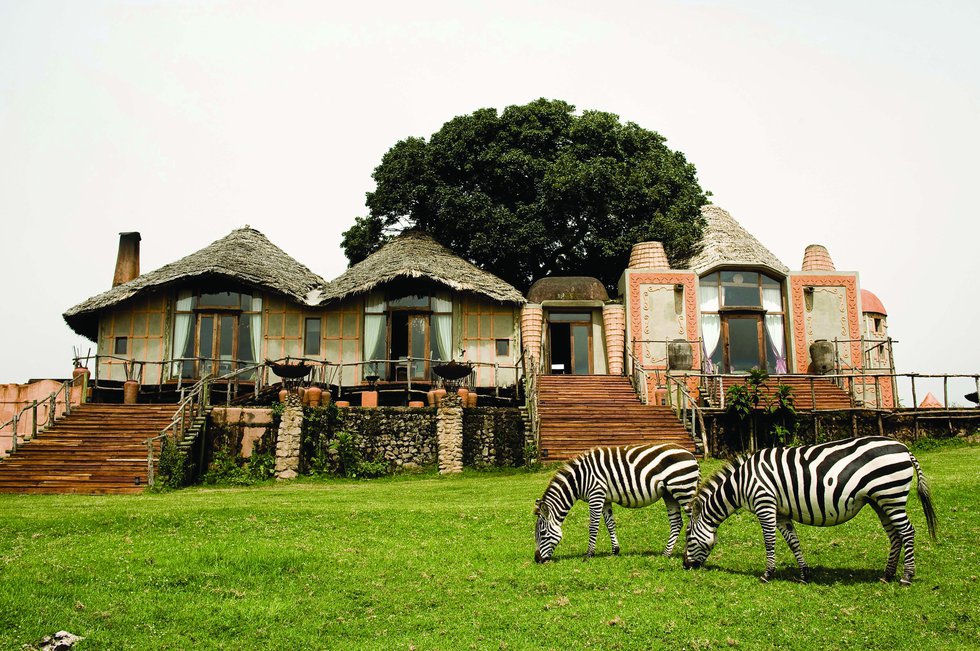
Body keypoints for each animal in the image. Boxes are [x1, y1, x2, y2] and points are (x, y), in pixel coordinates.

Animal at [532, 446, 700, 564]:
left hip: (683, 489)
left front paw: (589, 555)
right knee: (677, 523)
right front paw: (615, 551)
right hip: (670, 494)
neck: (579, 479)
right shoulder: (605, 499)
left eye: (542, 533)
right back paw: (666, 554)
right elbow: (610, 524)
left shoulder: (596, 493)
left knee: (694, 520)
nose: (537, 560)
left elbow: (593, 526)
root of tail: (692, 455)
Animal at [680, 438, 936, 584]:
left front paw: (767, 574)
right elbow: (793, 542)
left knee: (907, 532)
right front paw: (804, 575)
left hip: (891, 495)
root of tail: (904, 448)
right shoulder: (781, 513)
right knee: (895, 535)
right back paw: (887, 575)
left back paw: (906, 576)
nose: (684, 565)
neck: (741, 483)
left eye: (689, 537)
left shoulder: (765, 504)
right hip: (880, 500)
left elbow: (769, 541)